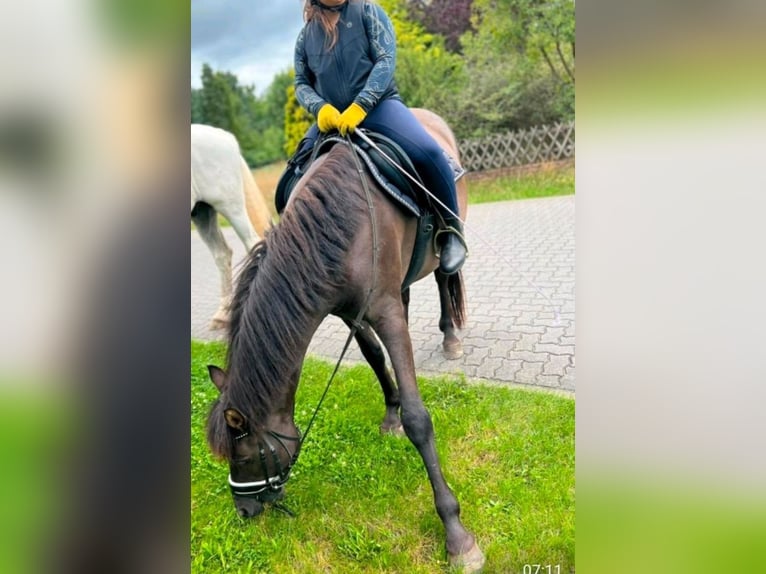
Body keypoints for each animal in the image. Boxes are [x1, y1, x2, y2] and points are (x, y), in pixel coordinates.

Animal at [191, 123, 273, 330]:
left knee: (253, 243)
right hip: (202, 212)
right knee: (222, 254)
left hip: (231, 208)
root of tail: (226, 137)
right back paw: (223, 314)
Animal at [204, 109, 485, 572]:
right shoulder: (348, 310)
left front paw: (457, 536)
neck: (338, 224)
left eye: (242, 457)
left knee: (446, 278)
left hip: (446, 242)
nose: (244, 510)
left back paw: (450, 338)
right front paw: (390, 414)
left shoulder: (383, 311)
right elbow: (373, 356)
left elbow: (419, 420)